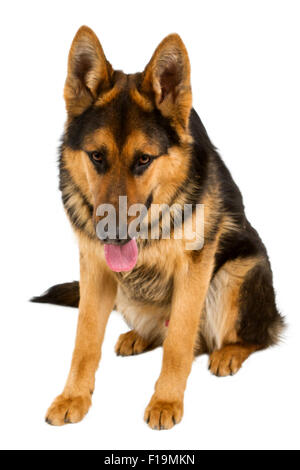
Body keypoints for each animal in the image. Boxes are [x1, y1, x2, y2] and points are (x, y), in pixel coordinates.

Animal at [31, 26, 284, 430]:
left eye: (143, 160)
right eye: (97, 156)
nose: (113, 234)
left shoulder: (194, 270)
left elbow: (178, 342)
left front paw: (166, 401)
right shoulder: (95, 270)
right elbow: (84, 340)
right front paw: (73, 397)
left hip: (237, 272)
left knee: (254, 334)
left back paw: (228, 352)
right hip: (125, 293)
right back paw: (139, 337)